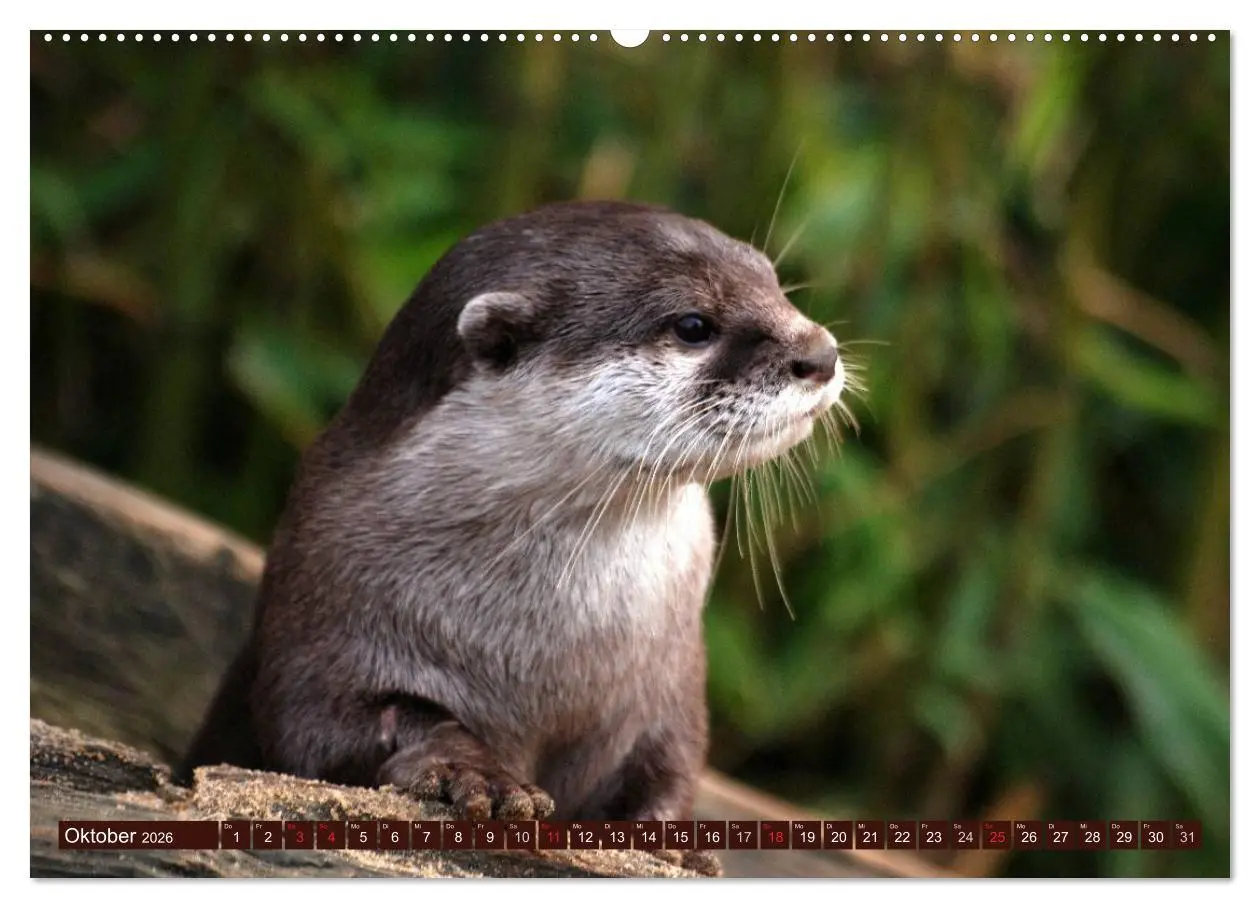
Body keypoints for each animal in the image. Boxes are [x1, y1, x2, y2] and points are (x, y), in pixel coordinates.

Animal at [182, 201, 845, 871]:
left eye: (773, 282)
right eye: (692, 324)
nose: (820, 353)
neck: (550, 653)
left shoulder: (671, 688)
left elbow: (671, 766)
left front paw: (671, 842)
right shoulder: (320, 609)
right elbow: (326, 728)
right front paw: (473, 773)